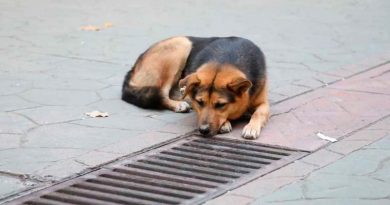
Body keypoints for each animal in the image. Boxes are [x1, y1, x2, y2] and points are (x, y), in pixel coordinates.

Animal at [123, 36, 270, 139]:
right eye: (200, 102)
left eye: (220, 105)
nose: (203, 130)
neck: (226, 59)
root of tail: (133, 68)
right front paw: (225, 123)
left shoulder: (264, 103)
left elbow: (259, 113)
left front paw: (251, 127)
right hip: (181, 45)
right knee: (162, 93)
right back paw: (178, 104)